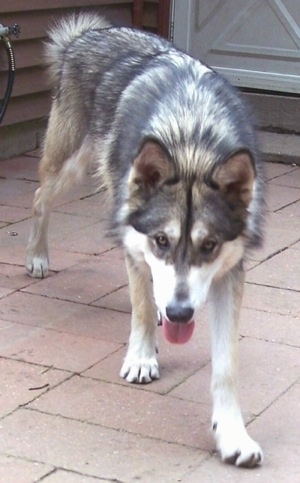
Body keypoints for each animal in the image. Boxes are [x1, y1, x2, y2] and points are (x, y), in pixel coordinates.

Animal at [27, 14, 264, 468]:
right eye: (160, 240)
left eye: (210, 245)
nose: (180, 313)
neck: (191, 141)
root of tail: (89, 34)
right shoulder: (136, 246)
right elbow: (137, 303)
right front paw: (141, 357)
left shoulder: (229, 275)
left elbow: (226, 366)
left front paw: (232, 435)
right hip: (70, 167)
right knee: (38, 197)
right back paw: (37, 257)